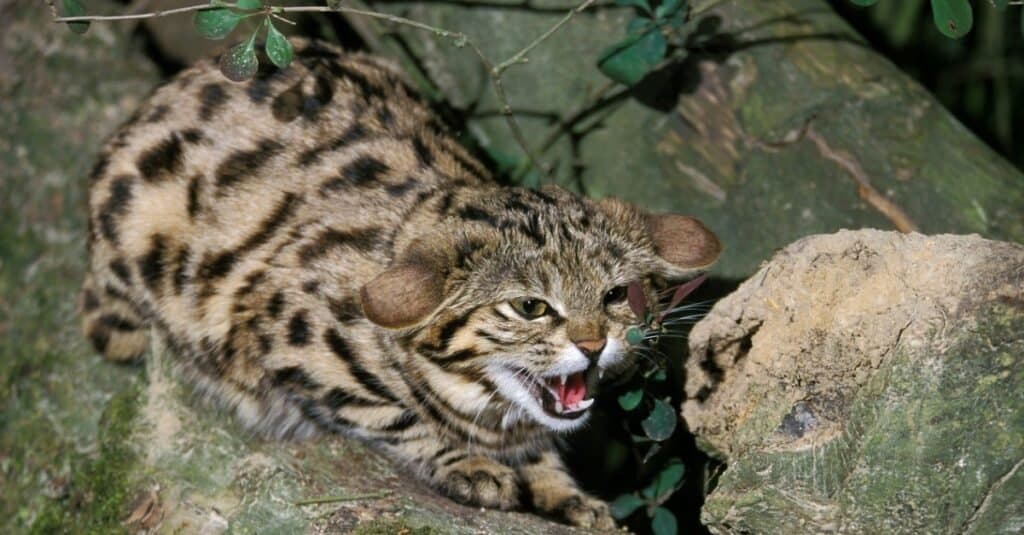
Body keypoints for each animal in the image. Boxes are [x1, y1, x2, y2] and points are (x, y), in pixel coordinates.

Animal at [79, 40, 720, 524]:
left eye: (614, 295)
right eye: (531, 307)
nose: (593, 344)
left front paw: (564, 491)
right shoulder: (282, 331)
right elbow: (390, 415)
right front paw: (468, 464)